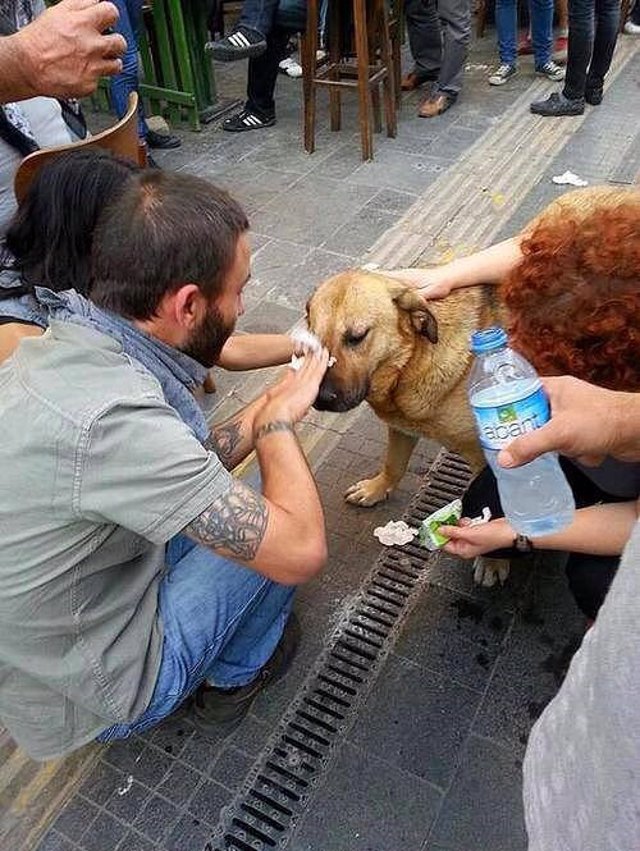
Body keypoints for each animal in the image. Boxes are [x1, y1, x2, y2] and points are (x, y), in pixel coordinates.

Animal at [308, 272, 508, 584]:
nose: (321, 399)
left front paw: (493, 558)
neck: (415, 359)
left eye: (357, 337)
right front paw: (376, 489)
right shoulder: (401, 426)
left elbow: (498, 506)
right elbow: (394, 464)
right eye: (313, 340)